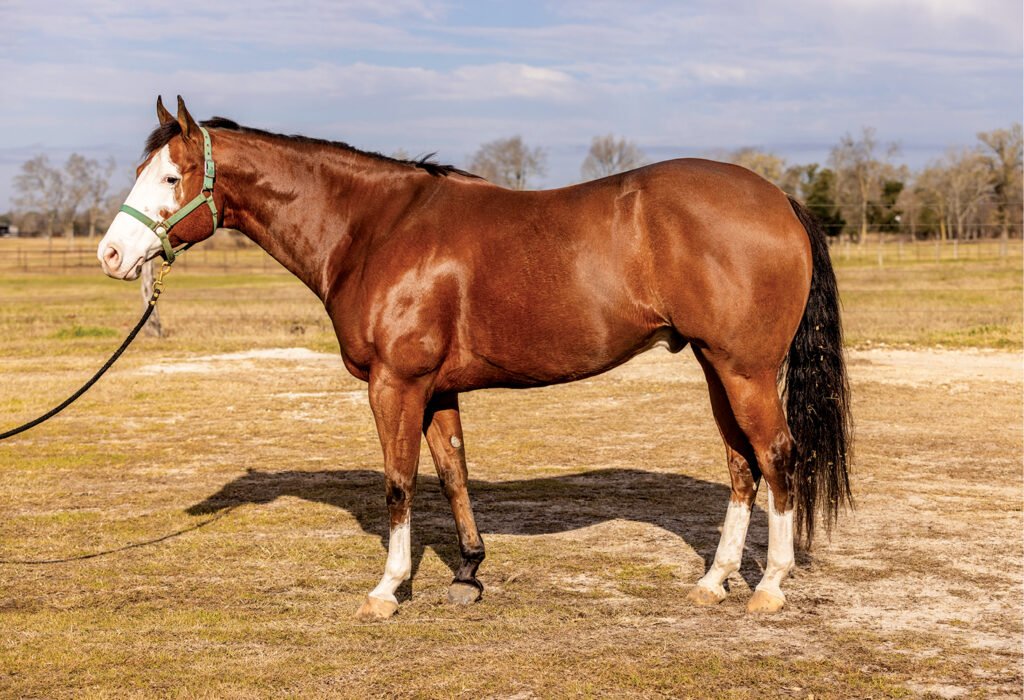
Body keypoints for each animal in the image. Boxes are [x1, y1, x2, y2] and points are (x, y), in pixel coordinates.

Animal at [98, 96, 851, 620]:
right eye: (140, 171)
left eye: (171, 176)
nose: (110, 254)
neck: (375, 230)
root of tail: (778, 198)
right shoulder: (436, 391)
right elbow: (453, 474)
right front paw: (468, 572)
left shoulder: (395, 385)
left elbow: (398, 484)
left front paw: (388, 589)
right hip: (715, 367)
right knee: (741, 466)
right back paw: (713, 582)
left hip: (745, 370)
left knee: (777, 457)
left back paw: (770, 586)